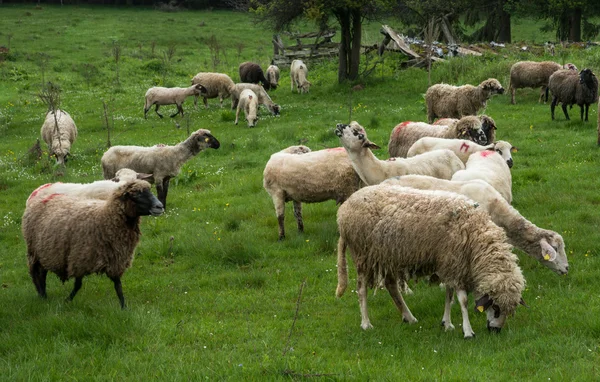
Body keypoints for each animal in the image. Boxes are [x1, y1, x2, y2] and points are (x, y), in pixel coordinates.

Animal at [21, 181, 164, 308]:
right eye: (136, 195)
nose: (160, 206)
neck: (104, 216)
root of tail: (40, 196)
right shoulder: (79, 258)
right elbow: (78, 285)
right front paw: (67, 300)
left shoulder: (115, 259)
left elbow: (118, 286)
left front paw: (124, 307)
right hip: (34, 250)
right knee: (36, 273)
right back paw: (42, 295)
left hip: (44, 250)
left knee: (42, 272)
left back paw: (43, 295)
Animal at [336, 185, 528, 338]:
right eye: (495, 309)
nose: (495, 331)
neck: (475, 234)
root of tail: (344, 208)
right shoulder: (455, 263)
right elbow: (463, 300)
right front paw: (467, 331)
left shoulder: (450, 264)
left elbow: (449, 296)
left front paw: (447, 323)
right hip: (362, 254)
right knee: (361, 289)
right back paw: (366, 323)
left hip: (388, 256)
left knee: (391, 286)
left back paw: (409, 317)